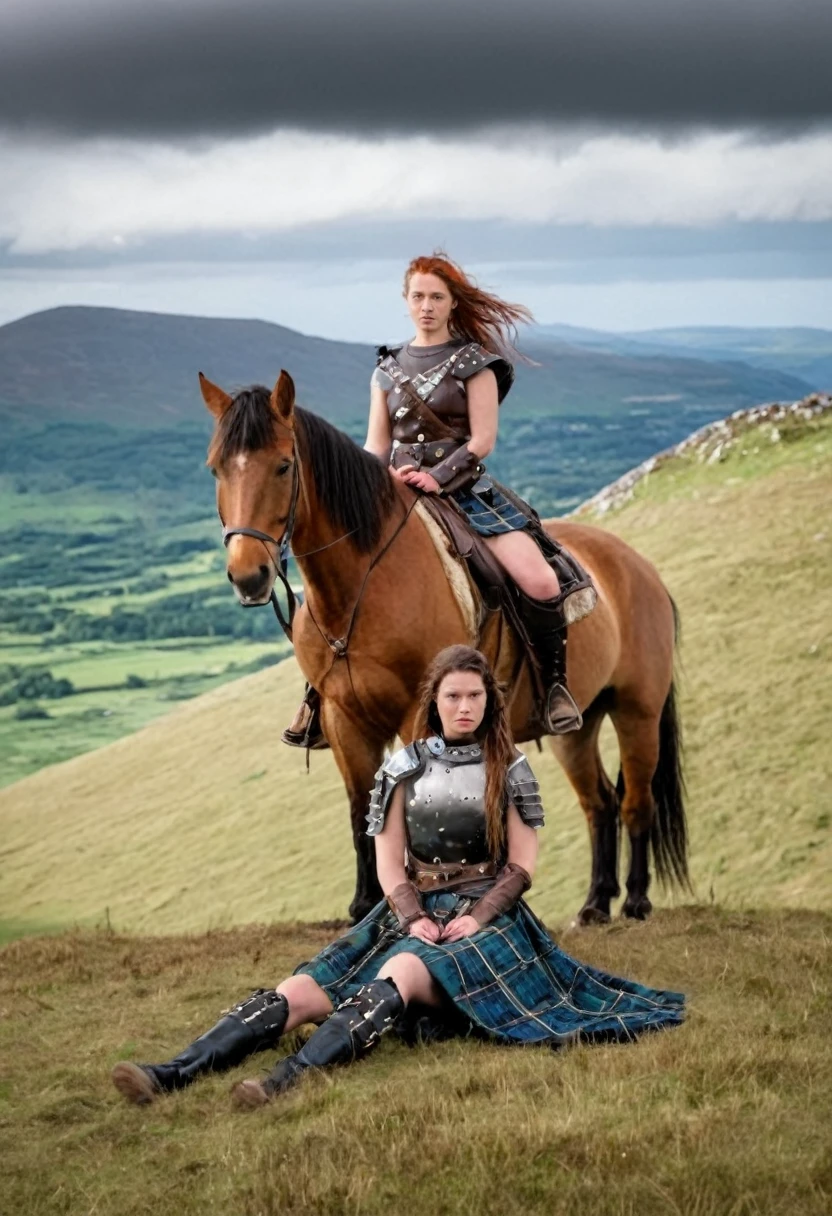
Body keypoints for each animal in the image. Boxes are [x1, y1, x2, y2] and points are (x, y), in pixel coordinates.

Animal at [201, 369, 690, 919]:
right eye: (217, 469)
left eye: (283, 465)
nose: (248, 576)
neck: (362, 585)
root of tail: (641, 568)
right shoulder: (344, 722)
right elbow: (362, 812)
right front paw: (366, 904)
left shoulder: (417, 714)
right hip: (577, 728)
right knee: (599, 803)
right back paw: (594, 904)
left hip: (637, 710)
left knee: (636, 803)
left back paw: (636, 901)